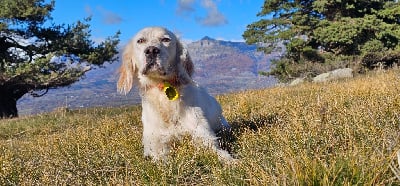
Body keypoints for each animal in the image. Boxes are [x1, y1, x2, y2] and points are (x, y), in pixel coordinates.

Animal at [117, 26, 233, 161]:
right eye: (140, 41)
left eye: (166, 39)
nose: (151, 50)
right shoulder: (154, 142)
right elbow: (160, 158)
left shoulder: (202, 133)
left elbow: (217, 151)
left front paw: (231, 161)